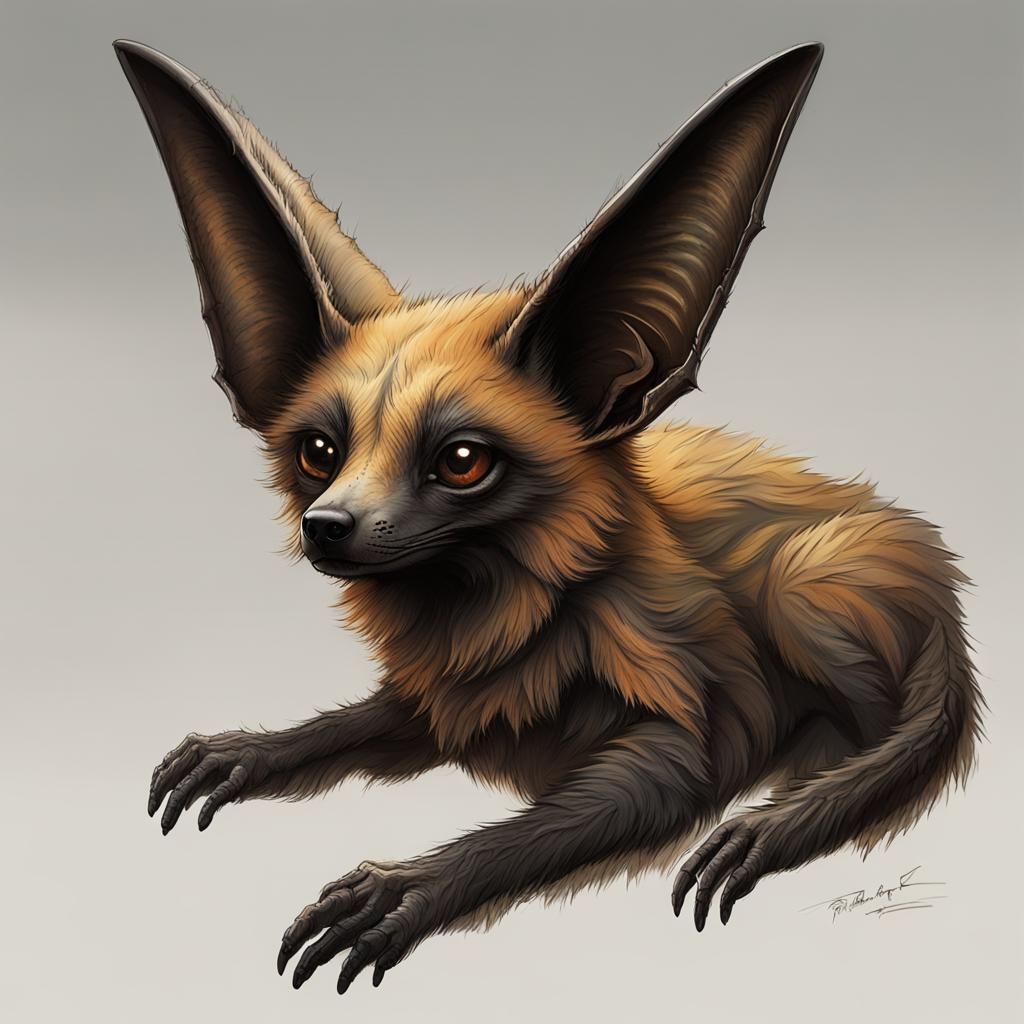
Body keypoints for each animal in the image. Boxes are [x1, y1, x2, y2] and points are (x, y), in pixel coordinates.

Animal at [116, 39, 982, 995]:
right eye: (318, 452)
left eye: (461, 460)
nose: (328, 526)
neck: (494, 612)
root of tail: (930, 560)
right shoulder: (438, 702)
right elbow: (343, 726)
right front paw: (250, 750)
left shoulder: (689, 737)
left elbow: (526, 834)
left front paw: (402, 889)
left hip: (803, 582)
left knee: (902, 741)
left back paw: (783, 813)